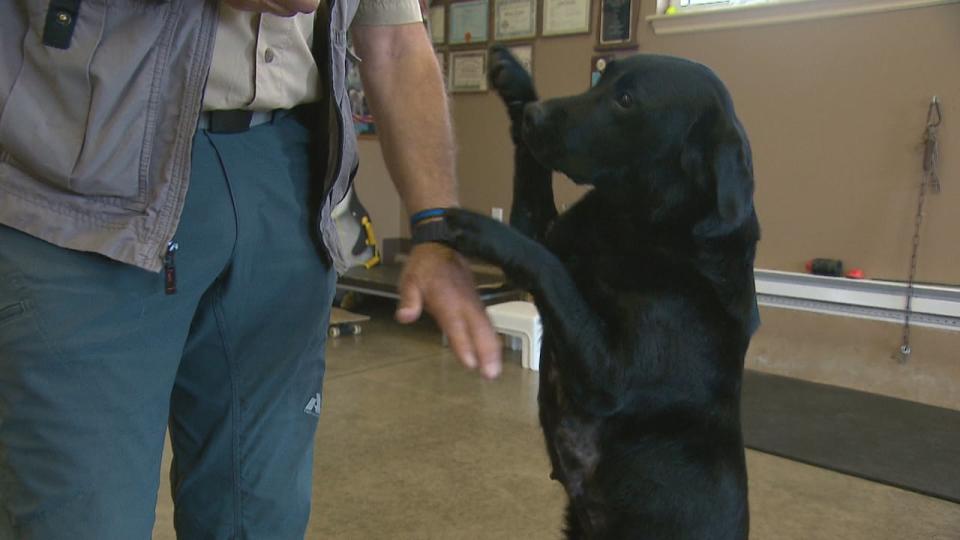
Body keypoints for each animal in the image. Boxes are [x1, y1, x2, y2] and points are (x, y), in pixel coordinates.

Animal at [438, 47, 760, 540]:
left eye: (625, 100)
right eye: (602, 77)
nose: (534, 115)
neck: (642, 224)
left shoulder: (606, 375)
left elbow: (546, 265)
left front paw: (478, 228)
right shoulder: (542, 225)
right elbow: (533, 191)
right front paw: (515, 80)